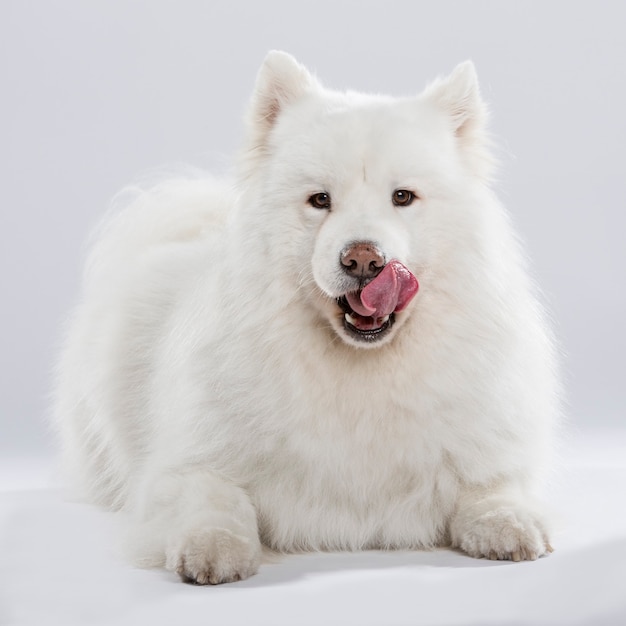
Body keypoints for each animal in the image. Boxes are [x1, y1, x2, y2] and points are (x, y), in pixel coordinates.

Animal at [56, 51, 560, 584]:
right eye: (320, 200)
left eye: (403, 197)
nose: (363, 260)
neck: (360, 378)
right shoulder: (187, 464)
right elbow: (215, 499)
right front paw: (213, 549)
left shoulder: (489, 450)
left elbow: (494, 487)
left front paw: (512, 526)